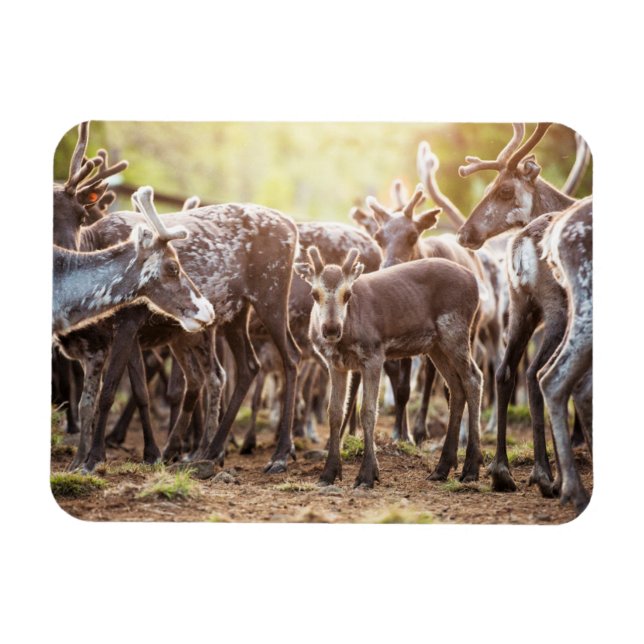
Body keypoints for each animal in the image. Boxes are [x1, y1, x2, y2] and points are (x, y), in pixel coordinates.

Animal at [295, 247, 483, 487]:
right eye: (314, 294)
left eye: (347, 294)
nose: (330, 329)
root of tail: (474, 281)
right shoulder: (335, 364)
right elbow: (334, 412)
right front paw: (328, 473)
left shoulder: (374, 355)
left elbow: (368, 411)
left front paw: (367, 474)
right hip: (436, 345)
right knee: (456, 387)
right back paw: (442, 468)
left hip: (455, 330)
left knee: (474, 379)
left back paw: (471, 468)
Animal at [456, 122, 592, 498]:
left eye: (503, 189)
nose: (464, 233)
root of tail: (520, 246)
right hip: (558, 309)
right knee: (537, 373)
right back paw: (547, 475)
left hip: (522, 308)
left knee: (506, 371)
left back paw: (502, 471)